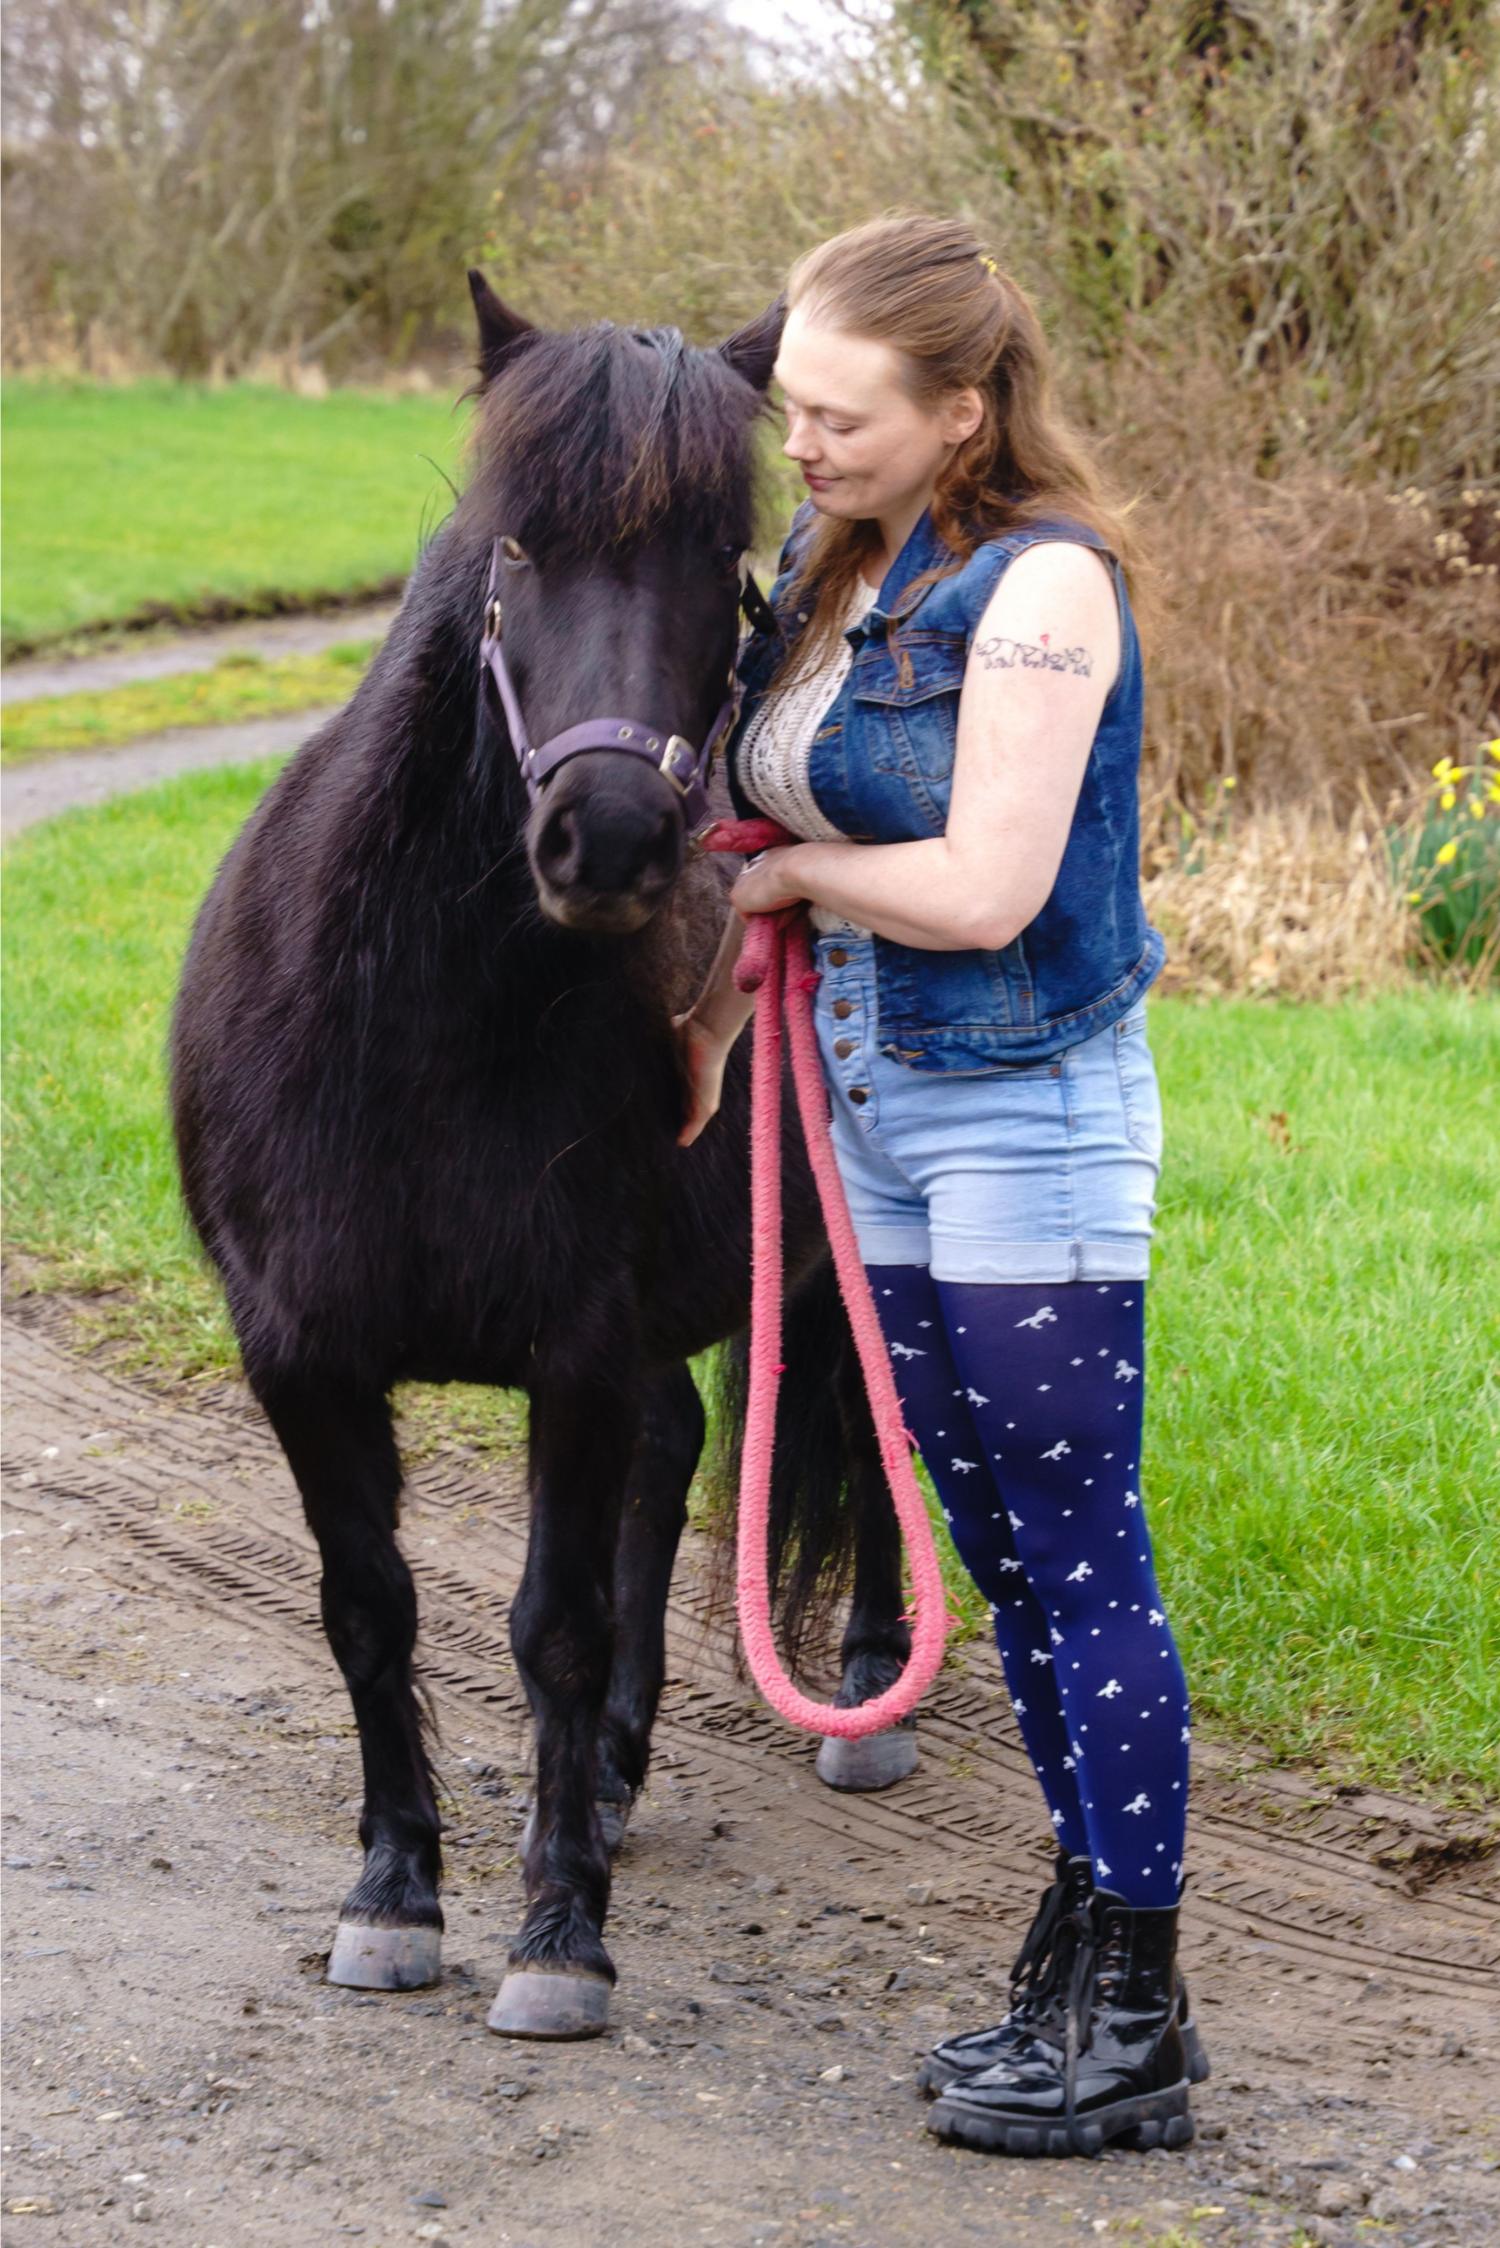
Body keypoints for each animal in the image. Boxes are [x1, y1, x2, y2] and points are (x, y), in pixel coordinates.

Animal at [168, 273, 920, 2040]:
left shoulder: (571, 1351)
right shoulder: (301, 1356)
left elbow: (554, 1631)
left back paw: (864, 1692)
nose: (615, 842)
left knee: (874, 1434)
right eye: (519, 547)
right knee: (681, 1444)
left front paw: (559, 1934)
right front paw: (396, 1893)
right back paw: (632, 1769)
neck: (416, 1026)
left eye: (722, 560)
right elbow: (369, 1612)